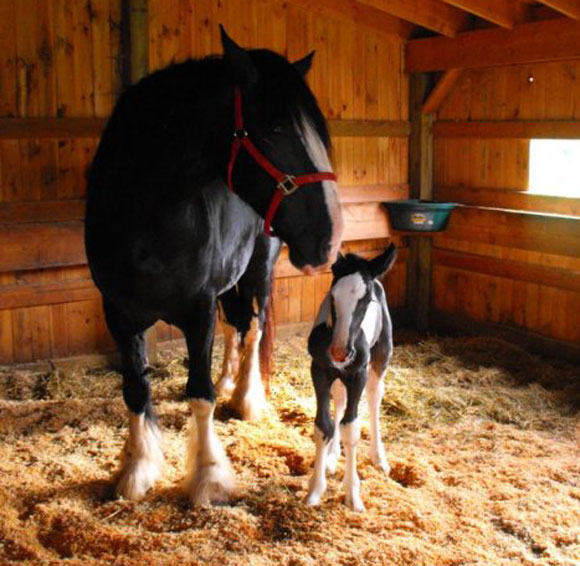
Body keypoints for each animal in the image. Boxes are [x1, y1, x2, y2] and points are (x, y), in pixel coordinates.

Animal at [84, 26, 342, 506]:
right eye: (276, 128)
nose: (330, 240)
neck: (146, 220)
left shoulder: (198, 309)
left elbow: (199, 394)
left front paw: (207, 479)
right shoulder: (119, 313)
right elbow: (135, 389)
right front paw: (136, 470)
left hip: (259, 270)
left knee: (253, 327)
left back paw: (244, 398)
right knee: (234, 327)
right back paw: (229, 383)